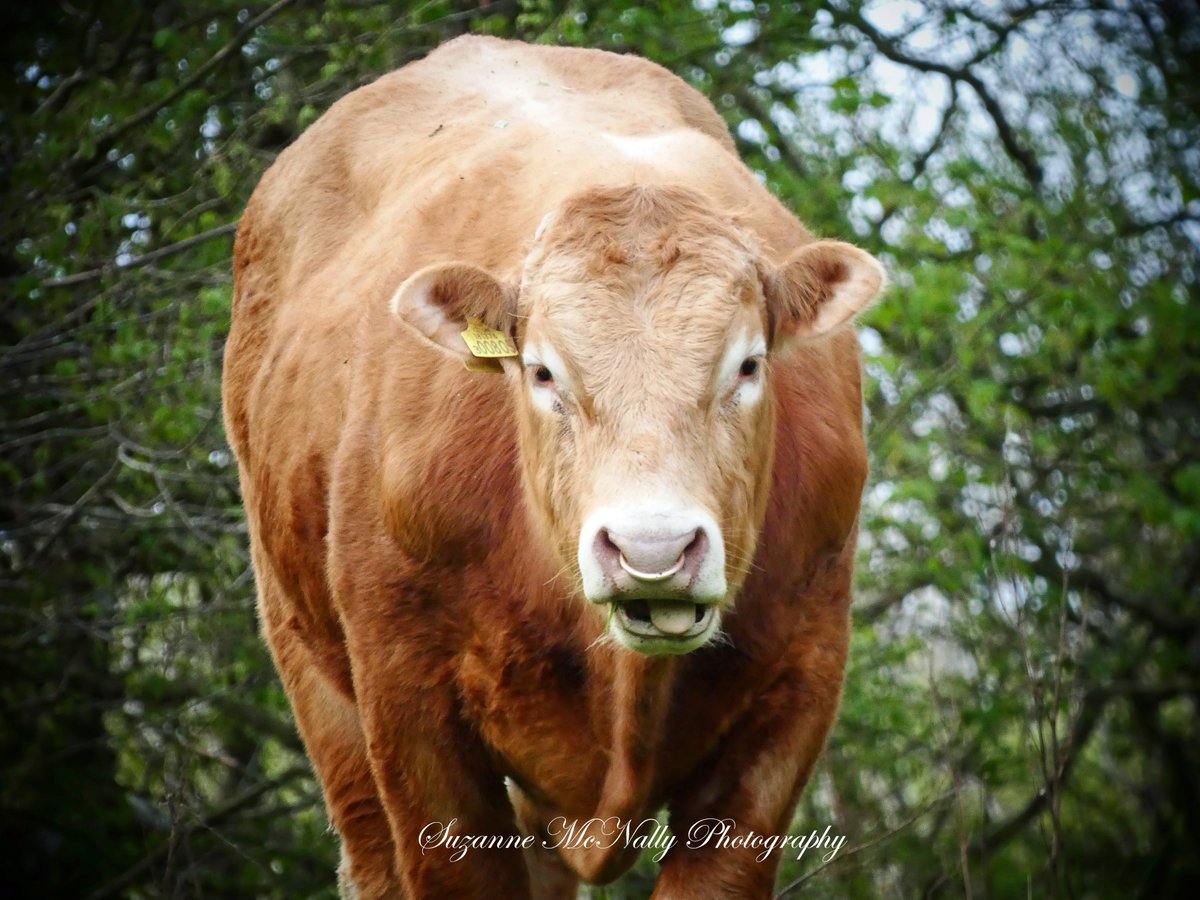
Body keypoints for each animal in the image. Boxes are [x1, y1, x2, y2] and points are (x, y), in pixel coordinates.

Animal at [222, 34, 885, 899]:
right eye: (541, 372)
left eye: (748, 364)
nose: (652, 550)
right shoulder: (409, 710)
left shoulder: (795, 696)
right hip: (307, 657)